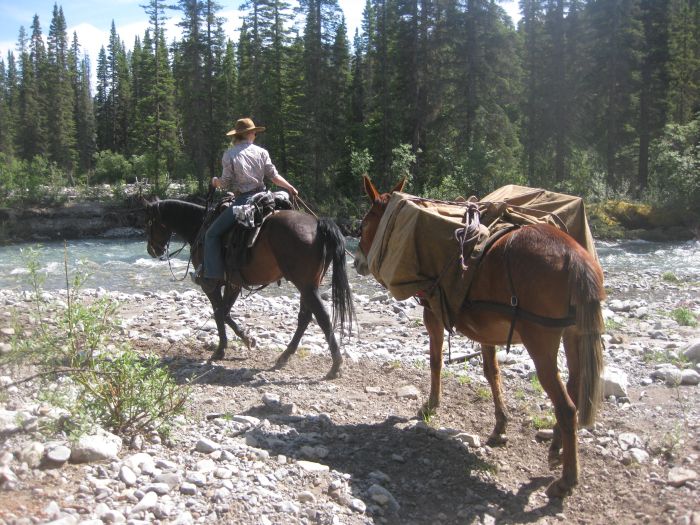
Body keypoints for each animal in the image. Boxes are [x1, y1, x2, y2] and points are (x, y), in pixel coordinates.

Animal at [142, 199, 352, 378]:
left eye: (149, 223)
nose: (152, 250)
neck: (199, 227)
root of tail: (317, 224)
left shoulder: (210, 285)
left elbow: (219, 313)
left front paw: (221, 349)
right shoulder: (233, 284)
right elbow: (225, 312)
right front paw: (247, 339)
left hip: (305, 286)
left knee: (322, 317)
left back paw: (335, 366)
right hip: (309, 285)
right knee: (305, 318)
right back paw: (284, 356)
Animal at [356, 176, 608, 496]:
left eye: (364, 225)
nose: (357, 262)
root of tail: (573, 257)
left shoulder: (433, 316)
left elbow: (436, 362)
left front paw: (431, 405)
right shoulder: (487, 333)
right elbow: (492, 373)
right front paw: (500, 427)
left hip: (541, 345)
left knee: (566, 407)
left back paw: (566, 480)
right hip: (573, 336)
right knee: (574, 388)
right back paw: (556, 448)